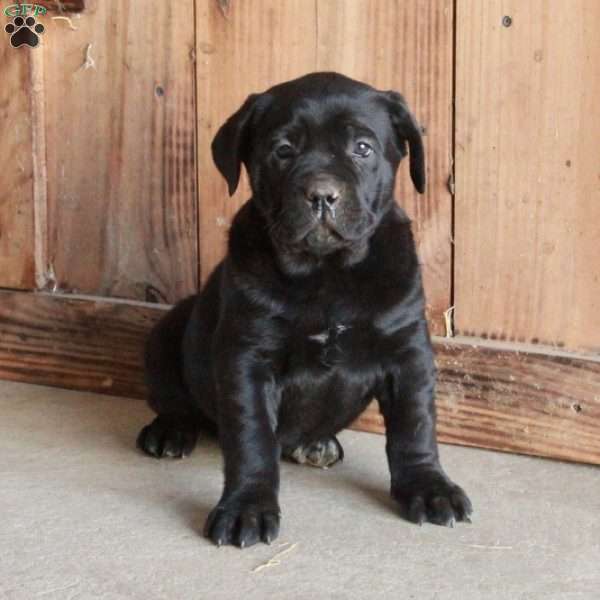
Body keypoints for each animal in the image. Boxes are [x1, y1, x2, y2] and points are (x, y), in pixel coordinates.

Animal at [137, 71, 474, 548]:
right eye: (283, 150)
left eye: (363, 148)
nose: (321, 195)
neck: (326, 272)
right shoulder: (248, 359)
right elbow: (252, 438)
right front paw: (246, 508)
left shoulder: (407, 352)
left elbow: (415, 425)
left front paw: (429, 488)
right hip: (166, 332)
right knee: (173, 398)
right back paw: (169, 431)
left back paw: (318, 444)